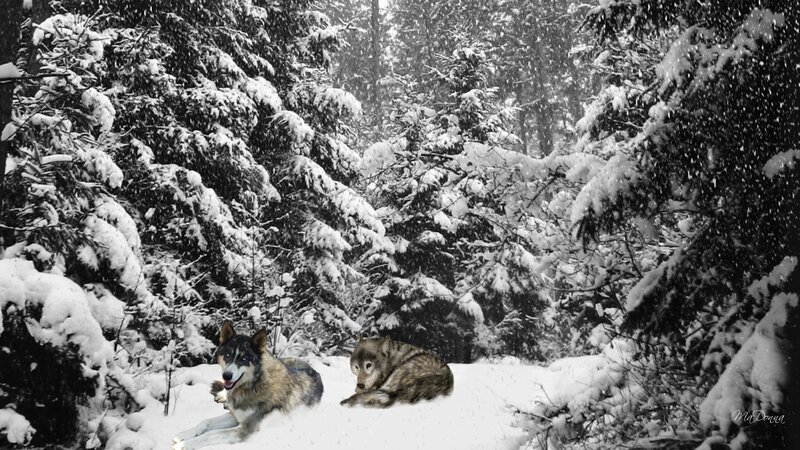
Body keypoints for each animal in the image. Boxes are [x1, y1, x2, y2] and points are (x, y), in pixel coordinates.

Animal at [172, 321, 323, 450]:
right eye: (227, 355)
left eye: (244, 359)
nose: (226, 376)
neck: (253, 385)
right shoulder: (235, 415)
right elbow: (205, 422)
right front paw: (183, 436)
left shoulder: (246, 429)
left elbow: (210, 434)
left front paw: (183, 445)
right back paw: (222, 396)